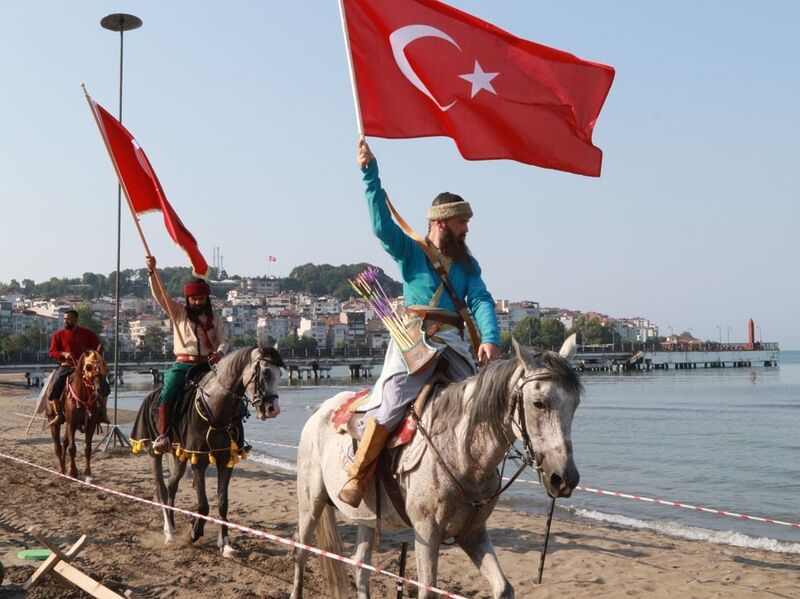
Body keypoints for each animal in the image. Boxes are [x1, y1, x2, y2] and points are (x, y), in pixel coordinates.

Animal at [46, 352, 108, 482]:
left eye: (104, 365)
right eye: (88, 367)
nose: (103, 389)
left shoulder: (91, 425)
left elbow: (87, 449)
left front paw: (88, 474)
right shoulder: (72, 424)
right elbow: (72, 448)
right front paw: (73, 471)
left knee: (64, 443)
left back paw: (64, 466)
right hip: (54, 421)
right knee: (58, 445)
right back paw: (61, 469)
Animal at [290, 336, 580, 596]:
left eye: (575, 404)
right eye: (538, 403)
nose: (565, 479)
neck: (461, 453)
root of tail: (320, 410)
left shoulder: (472, 532)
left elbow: (504, 588)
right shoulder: (426, 533)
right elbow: (428, 590)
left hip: (367, 518)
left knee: (360, 566)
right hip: (311, 501)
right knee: (302, 551)